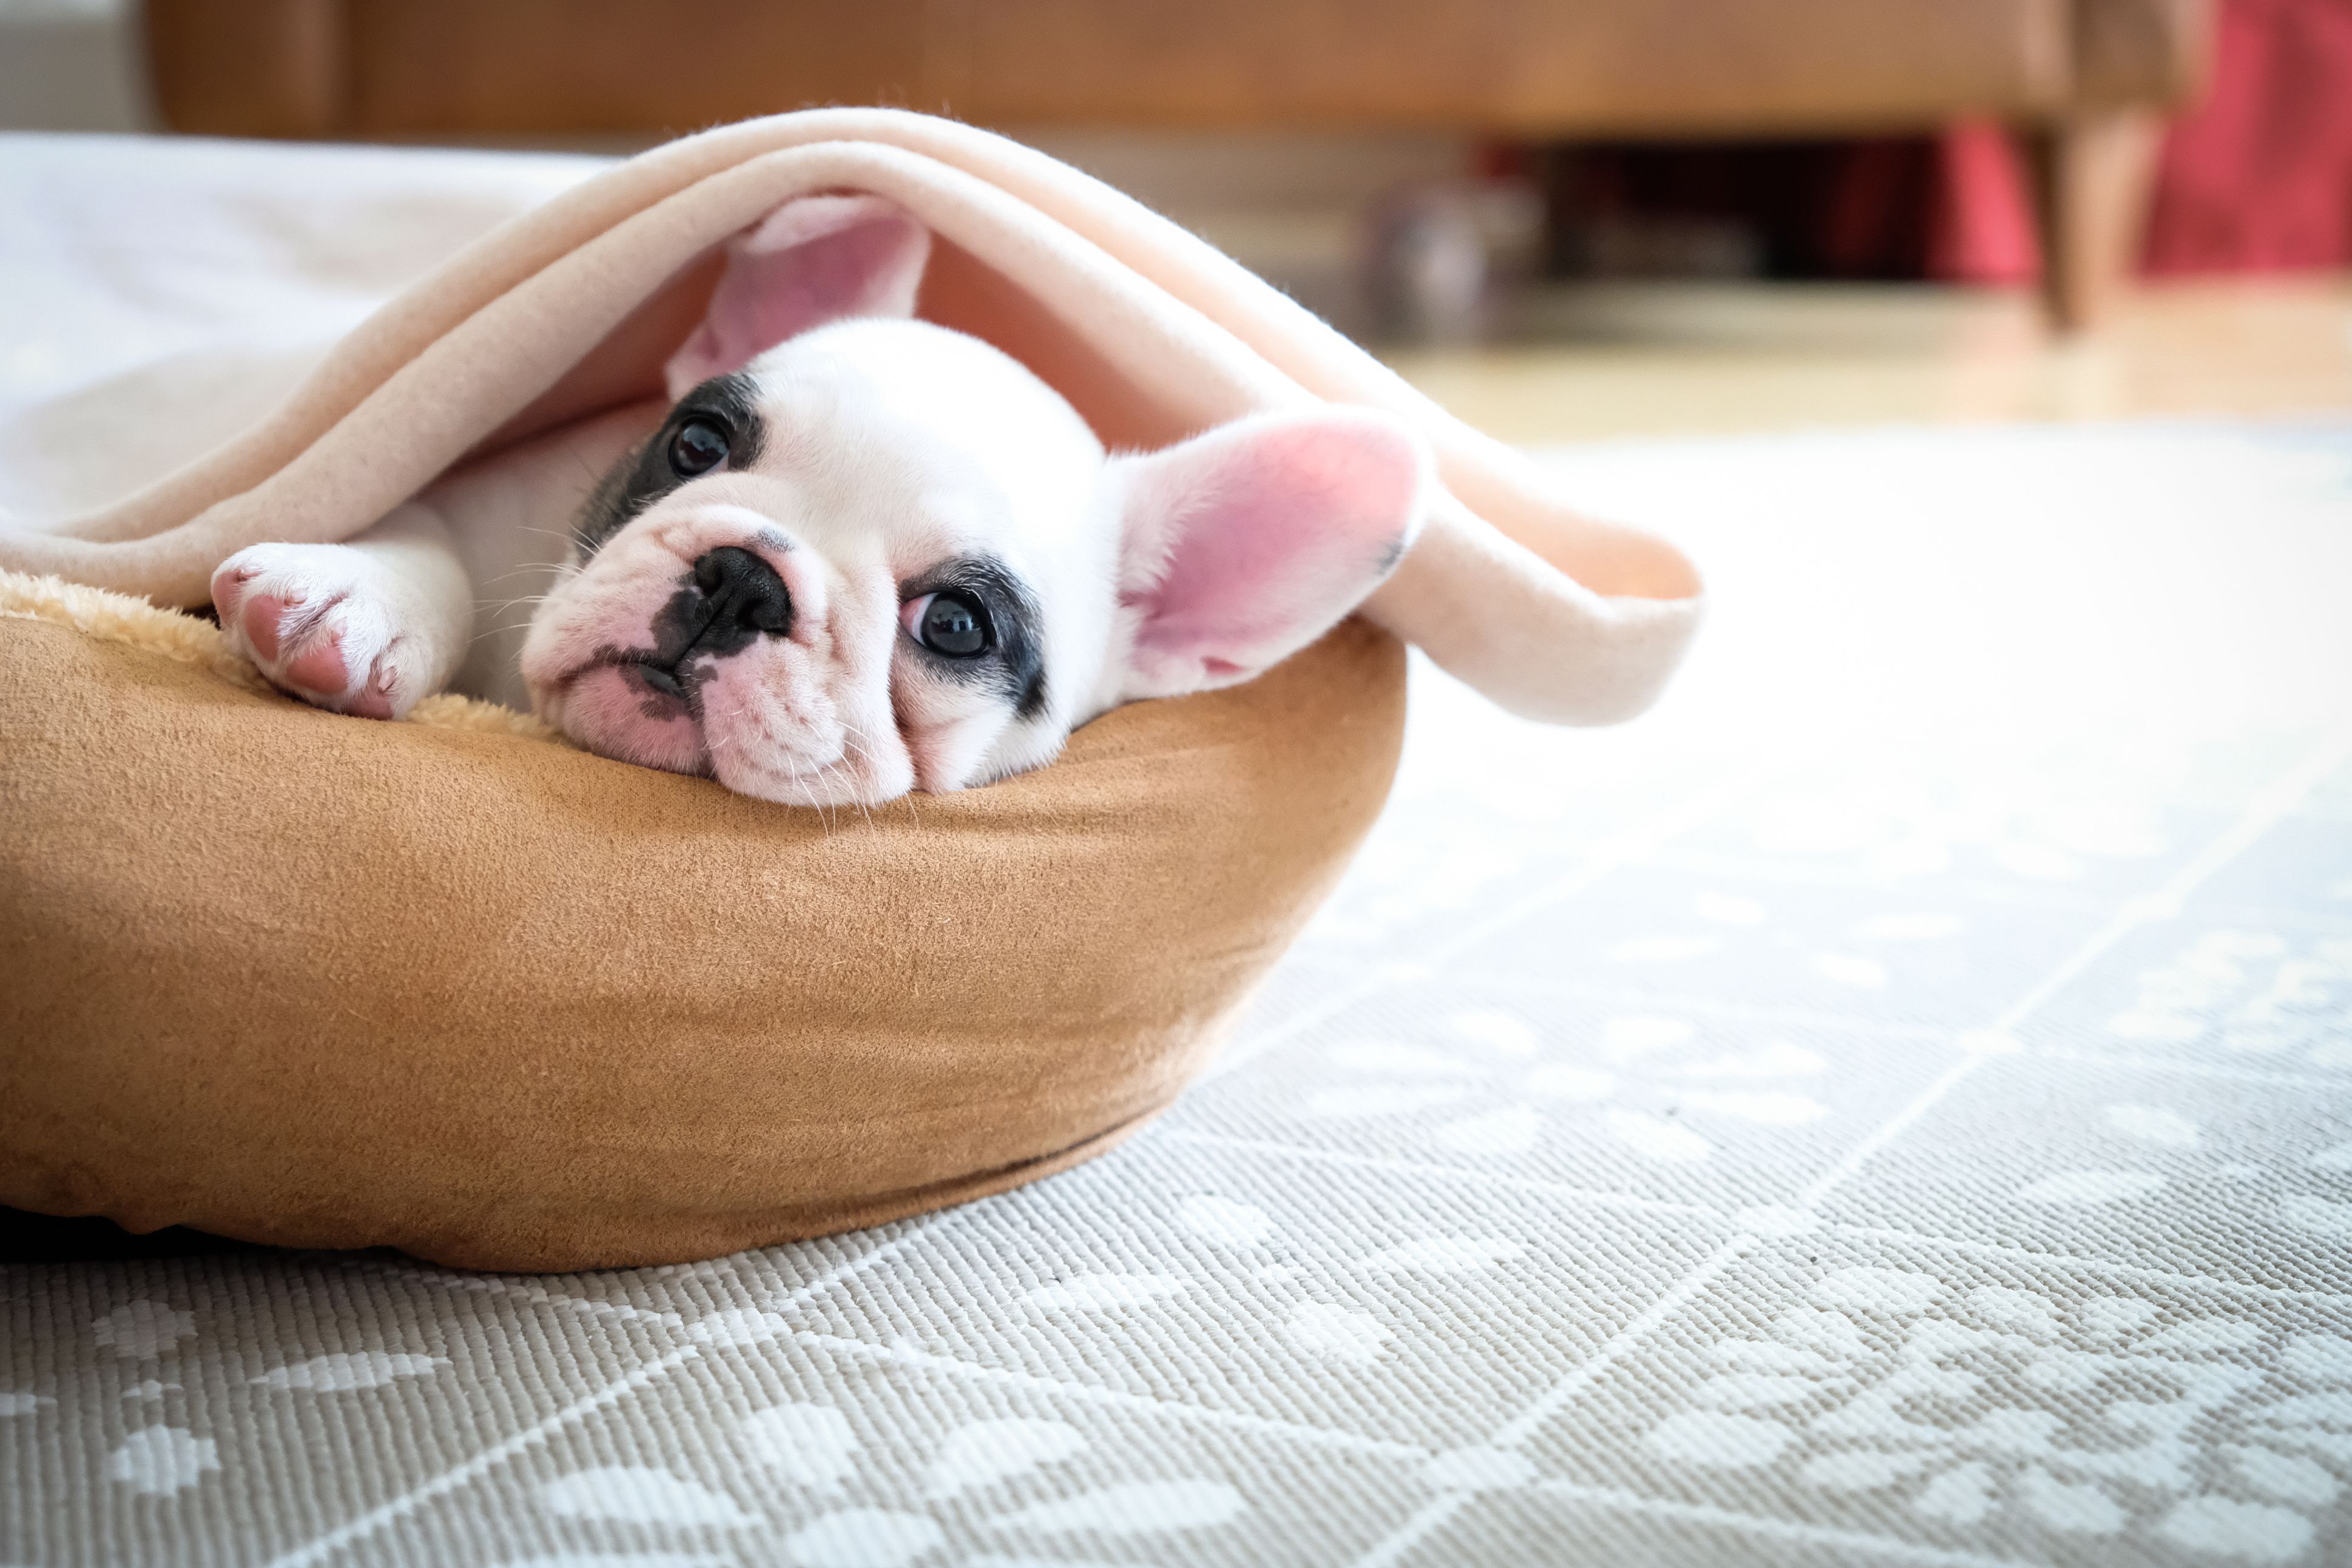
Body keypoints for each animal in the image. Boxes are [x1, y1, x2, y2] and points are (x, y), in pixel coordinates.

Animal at [207, 196, 1411, 808]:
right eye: (696, 442)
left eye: (956, 625)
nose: (742, 581)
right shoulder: (484, 492)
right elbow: (426, 537)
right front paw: (348, 600)